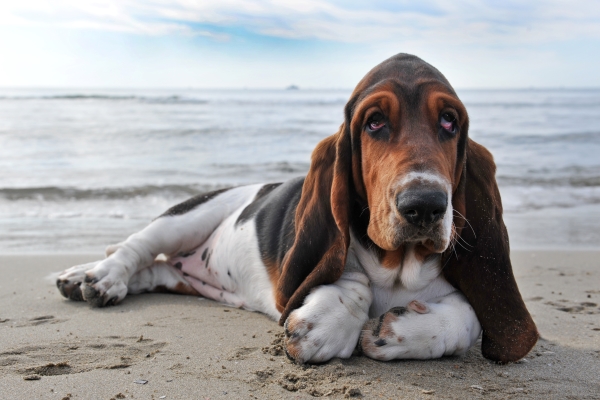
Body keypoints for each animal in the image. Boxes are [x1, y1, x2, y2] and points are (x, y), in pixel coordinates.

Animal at [56, 54, 540, 364]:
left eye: (449, 121)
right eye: (374, 122)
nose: (425, 206)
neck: (399, 269)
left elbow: (472, 315)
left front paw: (398, 332)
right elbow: (350, 279)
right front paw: (327, 324)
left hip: (184, 276)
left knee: (154, 271)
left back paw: (85, 279)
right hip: (186, 217)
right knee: (133, 249)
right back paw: (95, 279)